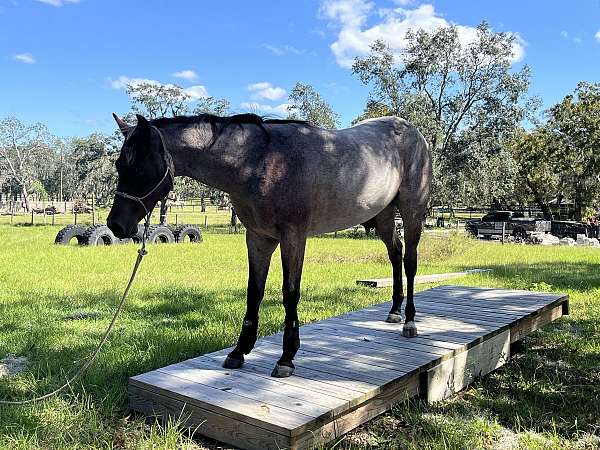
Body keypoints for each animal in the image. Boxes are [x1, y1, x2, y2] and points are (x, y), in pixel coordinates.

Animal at [106, 111, 432, 376]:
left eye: (139, 167)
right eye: (120, 165)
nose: (115, 225)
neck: (261, 162)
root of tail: (414, 132)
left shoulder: (293, 237)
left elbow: (290, 293)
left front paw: (287, 357)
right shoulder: (258, 237)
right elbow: (255, 291)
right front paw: (239, 351)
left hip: (411, 212)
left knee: (410, 262)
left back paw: (409, 322)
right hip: (384, 216)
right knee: (395, 254)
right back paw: (394, 311)